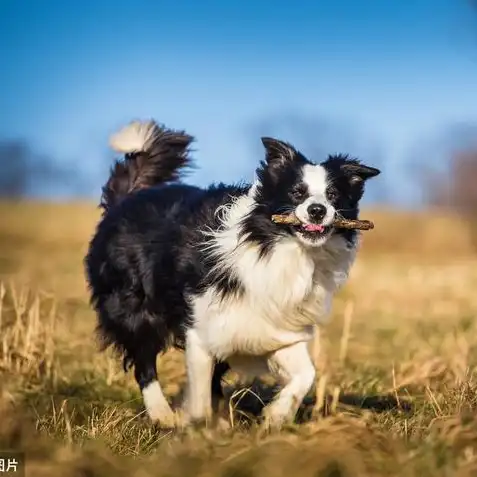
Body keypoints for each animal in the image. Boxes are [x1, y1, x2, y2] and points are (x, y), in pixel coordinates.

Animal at [82, 118, 380, 428]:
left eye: (333, 195)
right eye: (297, 192)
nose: (318, 210)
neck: (284, 250)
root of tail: (128, 198)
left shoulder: (275, 326)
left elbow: (305, 375)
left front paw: (276, 415)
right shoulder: (201, 328)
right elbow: (199, 397)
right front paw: (197, 426)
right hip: (135, 308)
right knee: (144, 362)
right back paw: (162, 415)